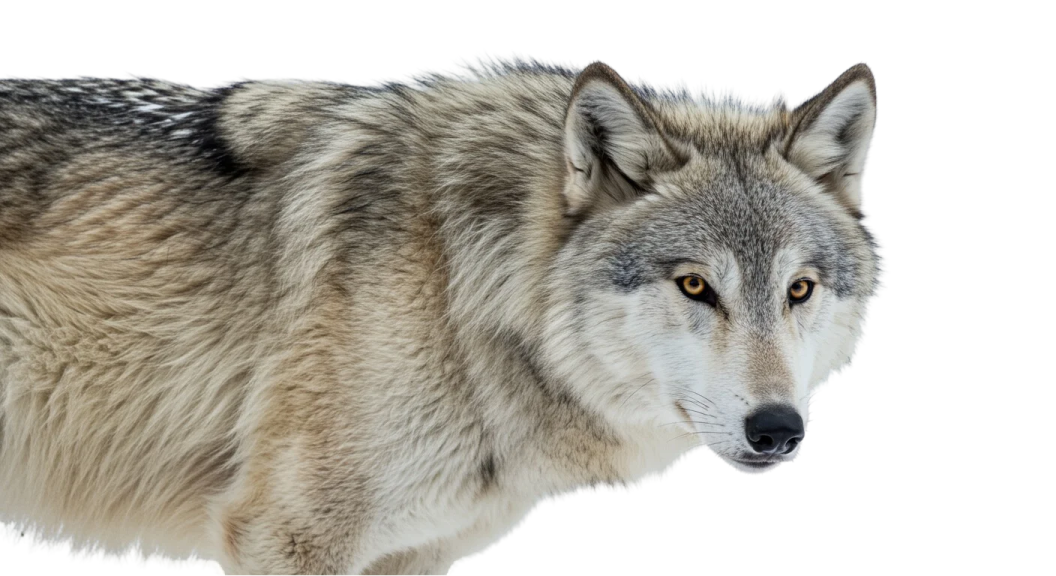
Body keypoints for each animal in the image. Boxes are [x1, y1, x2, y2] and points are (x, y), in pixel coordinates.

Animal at [0, 53, 887, 574]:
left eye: (799, 290)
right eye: (696, 285)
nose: (778, 429)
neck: (465, 288)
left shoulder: (412, 555)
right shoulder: (289, 535)